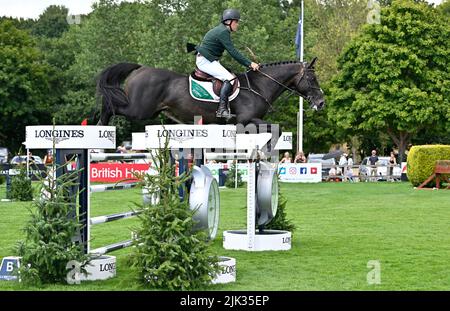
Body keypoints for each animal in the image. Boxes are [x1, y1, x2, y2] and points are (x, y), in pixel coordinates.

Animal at [96, 58, 326, 126]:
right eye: (312, 79)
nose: (321, 102)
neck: (259, 86)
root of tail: (140, 68)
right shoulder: (246, 119)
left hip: (149, 112)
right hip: (139, 110)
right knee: (111, 106)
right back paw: (101, 125)